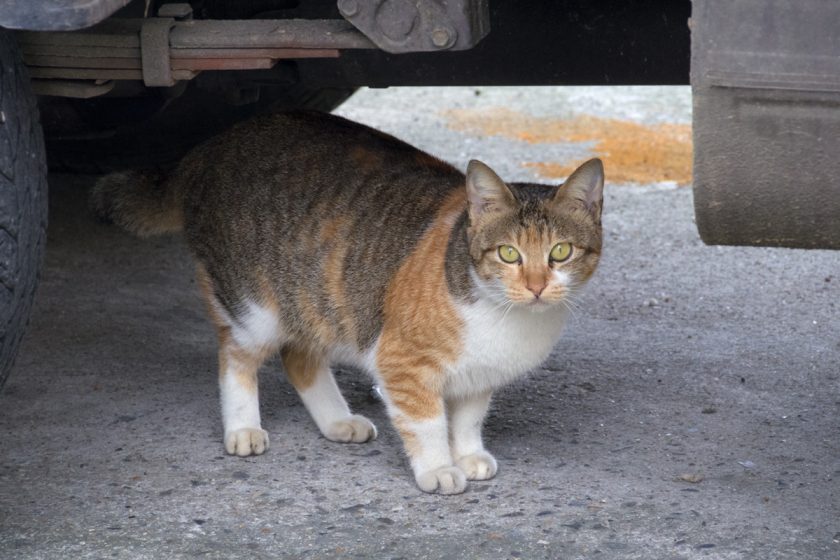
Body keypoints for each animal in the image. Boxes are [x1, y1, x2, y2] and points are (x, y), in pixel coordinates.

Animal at [92, 110, 604, 494]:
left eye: (560, 252)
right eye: (509, 254)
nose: (537, 286)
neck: (506, 316)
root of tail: (207, 148)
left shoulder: (479, 374)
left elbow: (468, 418)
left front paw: (469, 454)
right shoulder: (403, 364)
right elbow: (427, 422)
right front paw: (440, 467)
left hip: (314, 301)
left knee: (299, 357)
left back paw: (337, 421)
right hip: (253, 307)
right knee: (236, 356)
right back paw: (242, 428)